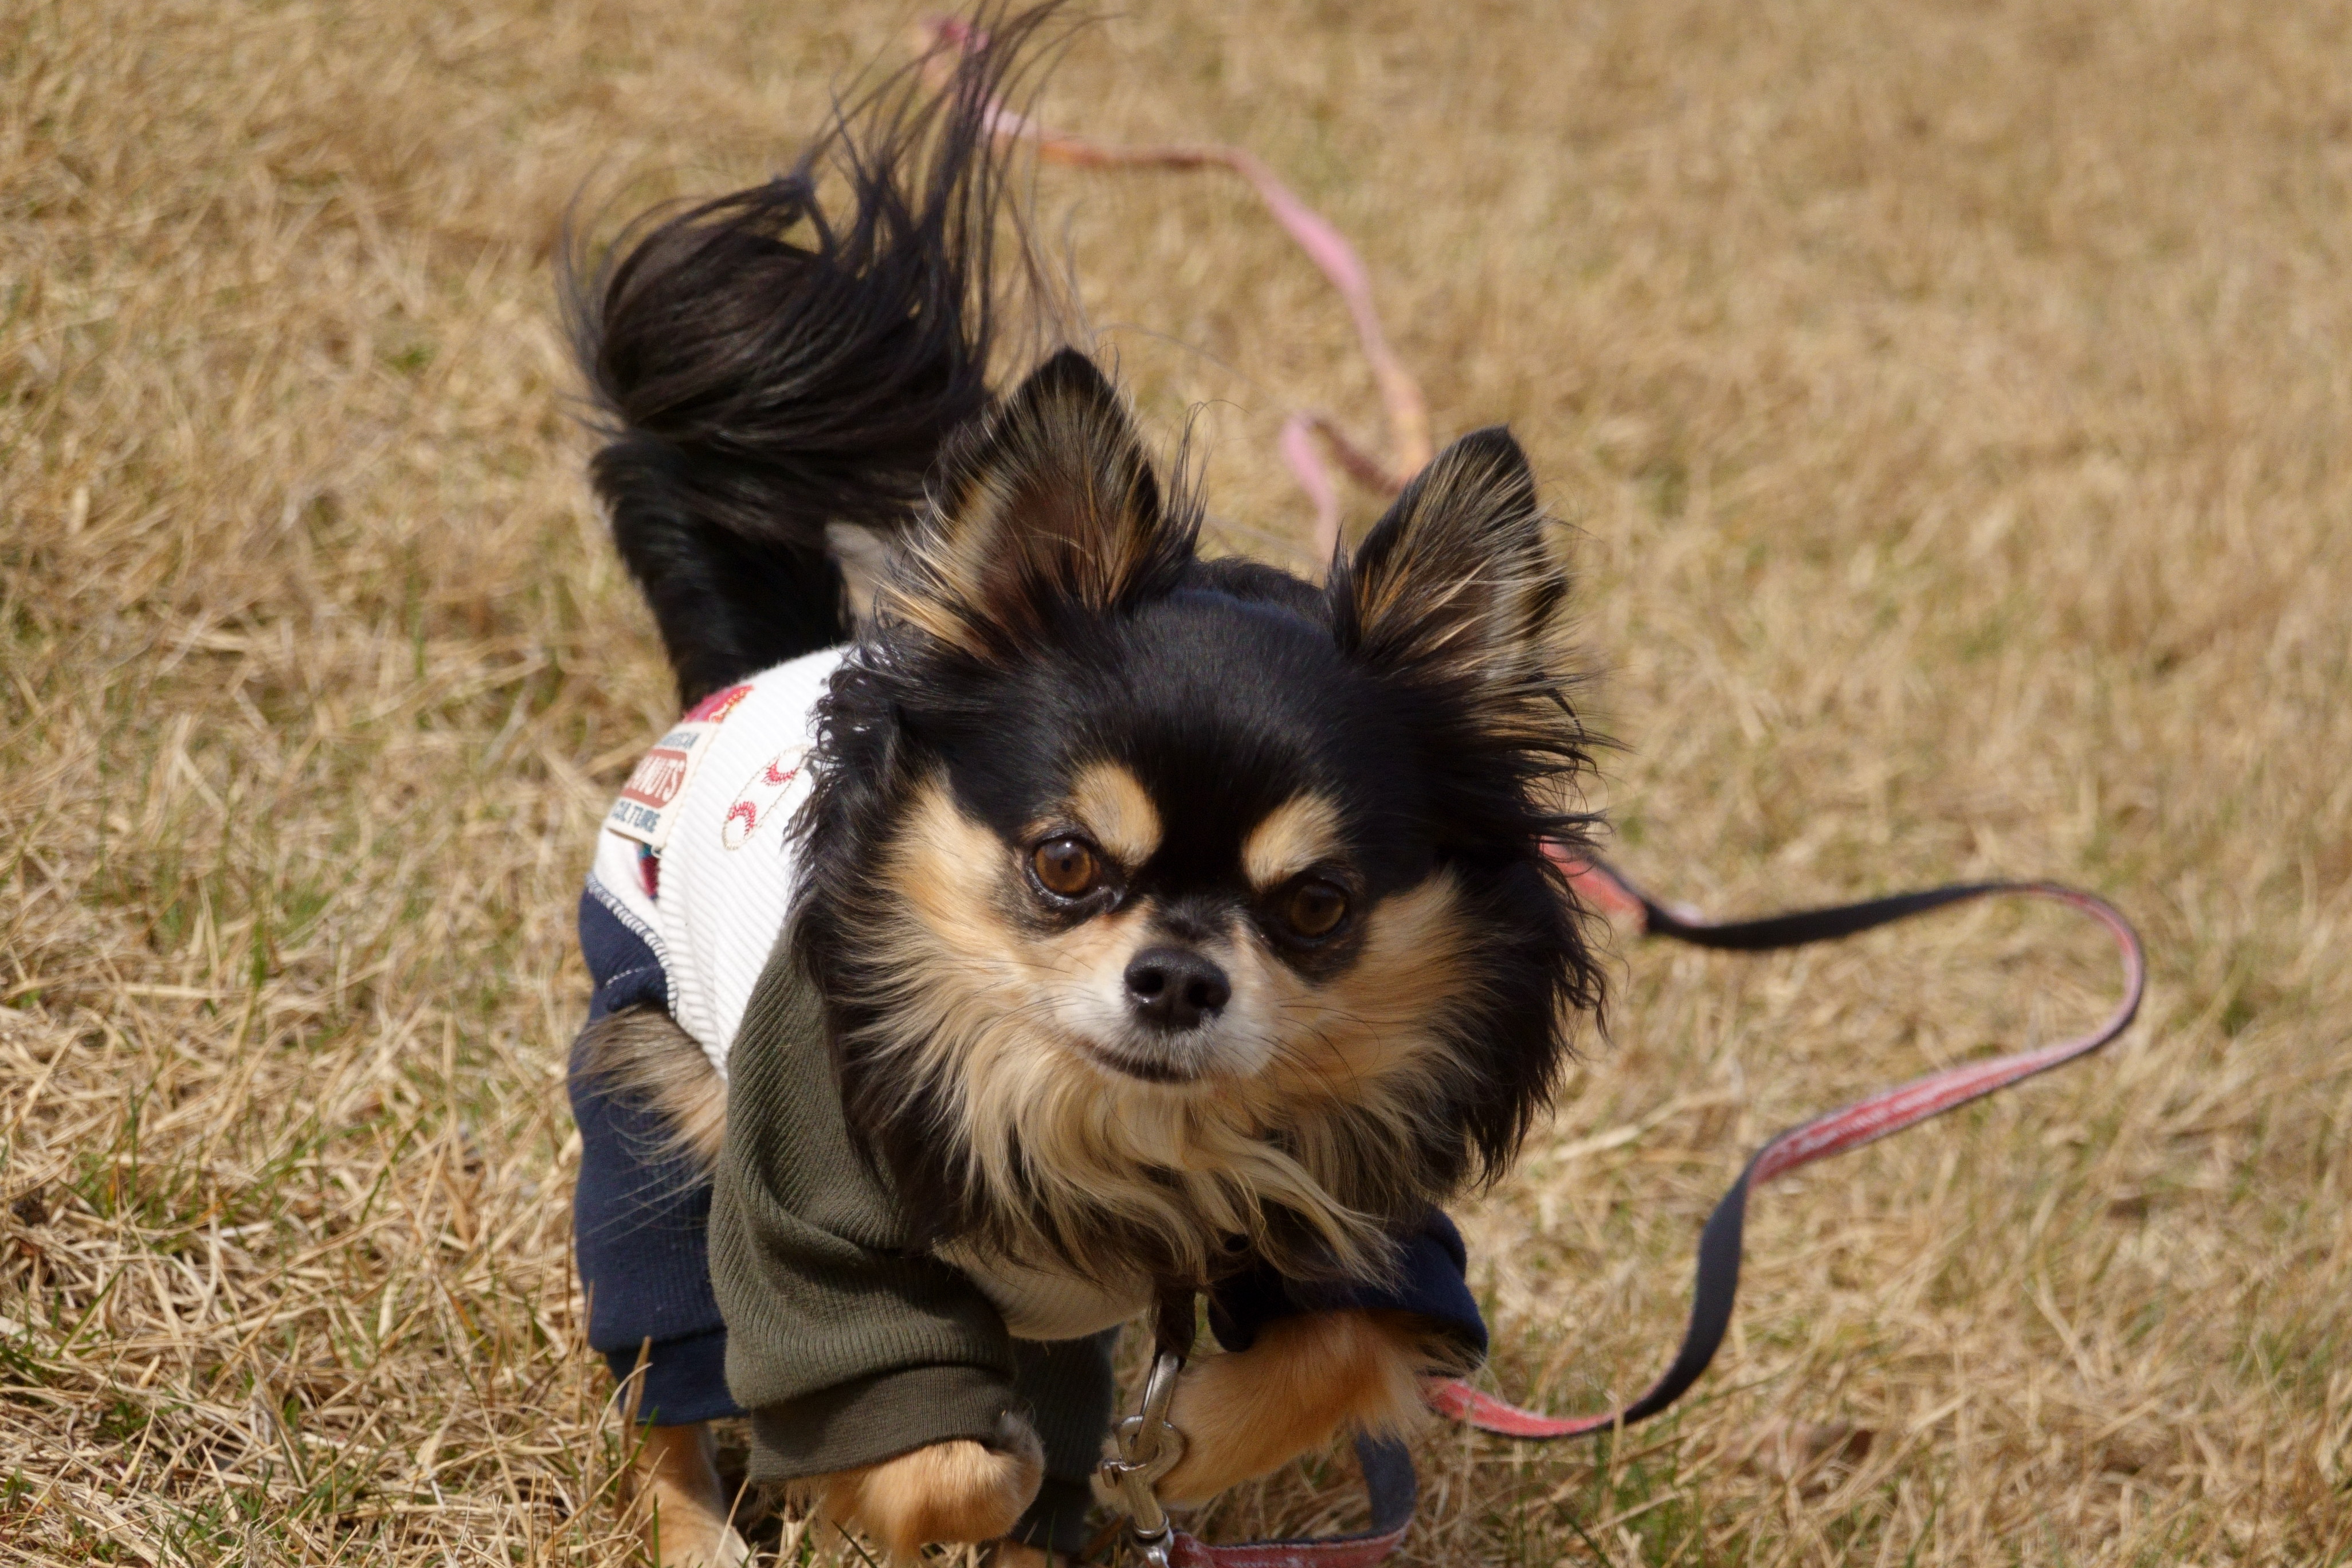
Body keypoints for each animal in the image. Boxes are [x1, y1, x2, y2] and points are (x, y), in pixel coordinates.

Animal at [559, 9, 1609, 1561]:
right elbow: (944, 1452)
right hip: (648, 1095)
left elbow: (1332, 1350)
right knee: (666, 1381)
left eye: (1320, 905)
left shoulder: (1357, 1225)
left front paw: (1176, 1446)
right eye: (1064, 862)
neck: (1132, 1133)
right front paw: (887, 1487)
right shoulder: (809, 1219)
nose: (1176, 976)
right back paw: (709, 1530)